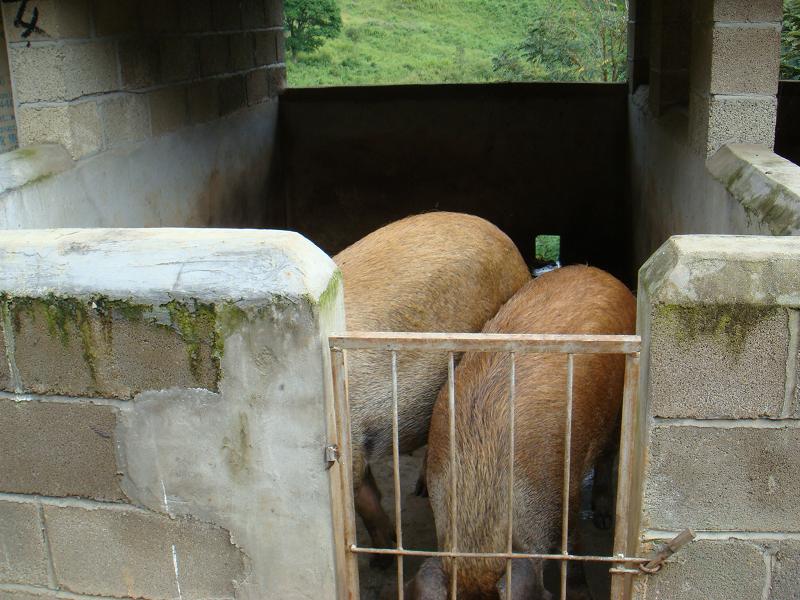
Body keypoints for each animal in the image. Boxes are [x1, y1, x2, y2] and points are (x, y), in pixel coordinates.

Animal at [410, 264, 636, 596]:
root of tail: (600, 273)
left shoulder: (566, 484)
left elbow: (572, 544)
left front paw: (580, 592)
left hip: (616, 408)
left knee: (609, 455)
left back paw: (604, 520)